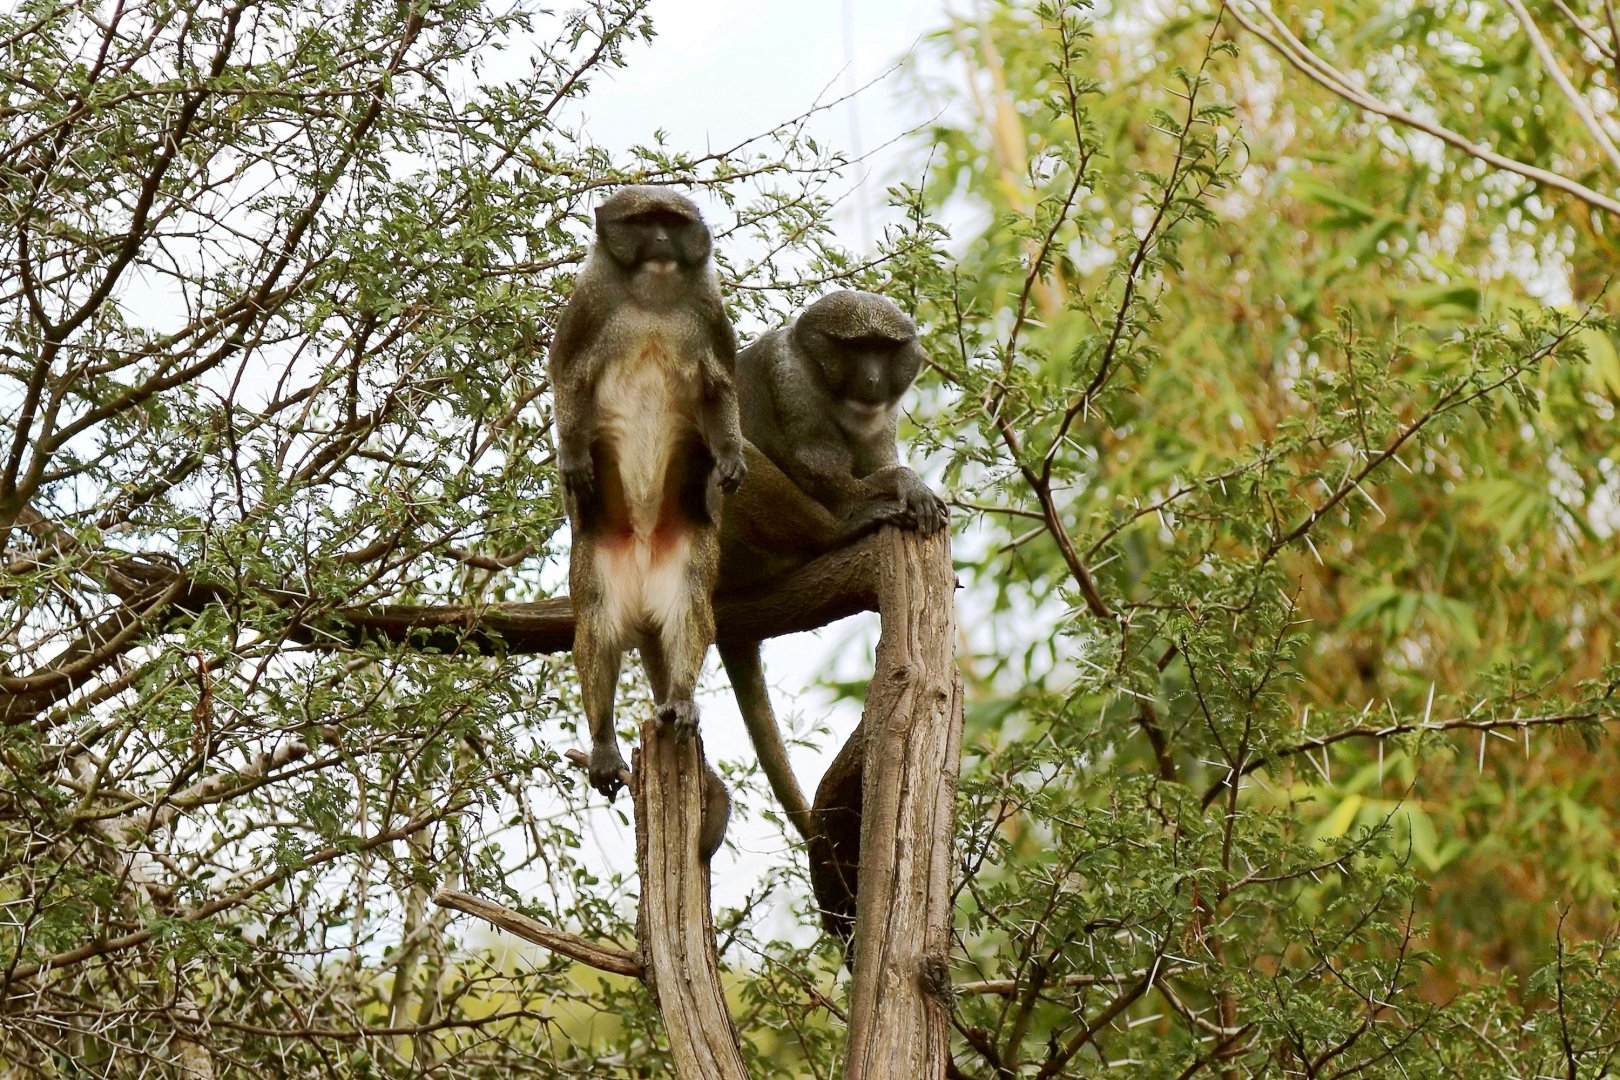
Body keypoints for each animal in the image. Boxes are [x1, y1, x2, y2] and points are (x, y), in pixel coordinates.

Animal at [550, 185, 744, 860]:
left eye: (672, 223)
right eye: (643, 223)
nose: (661, 243)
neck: (651, 300)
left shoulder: (710, 316)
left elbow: (720, 387)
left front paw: (730, 457)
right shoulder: (585, 309)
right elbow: (565, 376)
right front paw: (573, 459)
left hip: (684, 553)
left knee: (689, 608)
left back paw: (679, 704)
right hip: (598, 562)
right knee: (597, 629)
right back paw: (604, 741)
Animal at [715, 290, 947, 847]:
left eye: (884, 350)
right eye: (855, 348)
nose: (872, 380)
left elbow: (874, 461)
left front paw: (904, 480)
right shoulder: (791, 382)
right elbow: (820, 466)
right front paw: (904, 484)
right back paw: (839, 531)